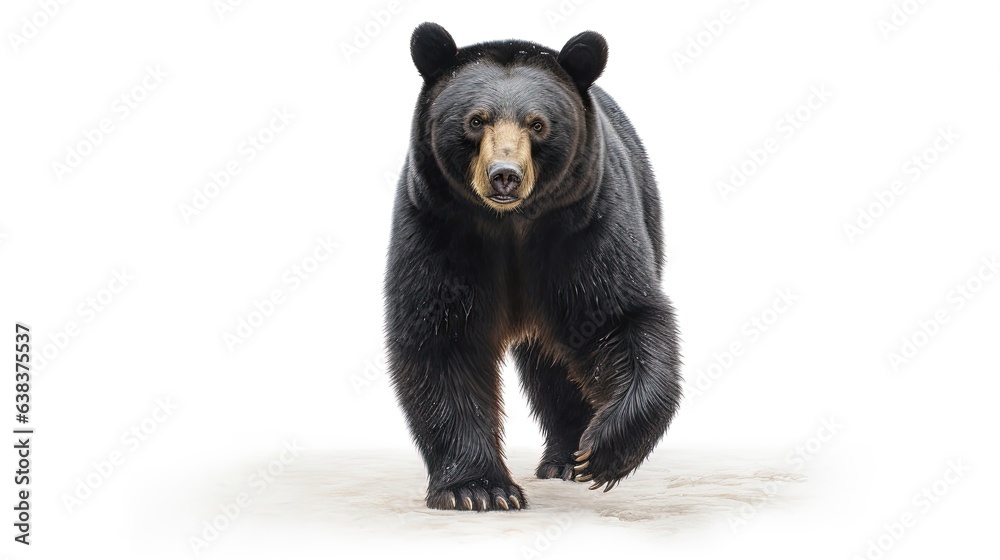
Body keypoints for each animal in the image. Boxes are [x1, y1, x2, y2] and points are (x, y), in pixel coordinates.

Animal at [383, 22, 682, 511]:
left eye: (538, 123)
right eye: (476, 119)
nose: (505, 174)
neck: (509, 225)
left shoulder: (584, 227)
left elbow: (619, 318)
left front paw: (604, 452)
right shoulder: (439, 228)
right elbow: (441, 337)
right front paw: (478, 489)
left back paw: (568, 459)